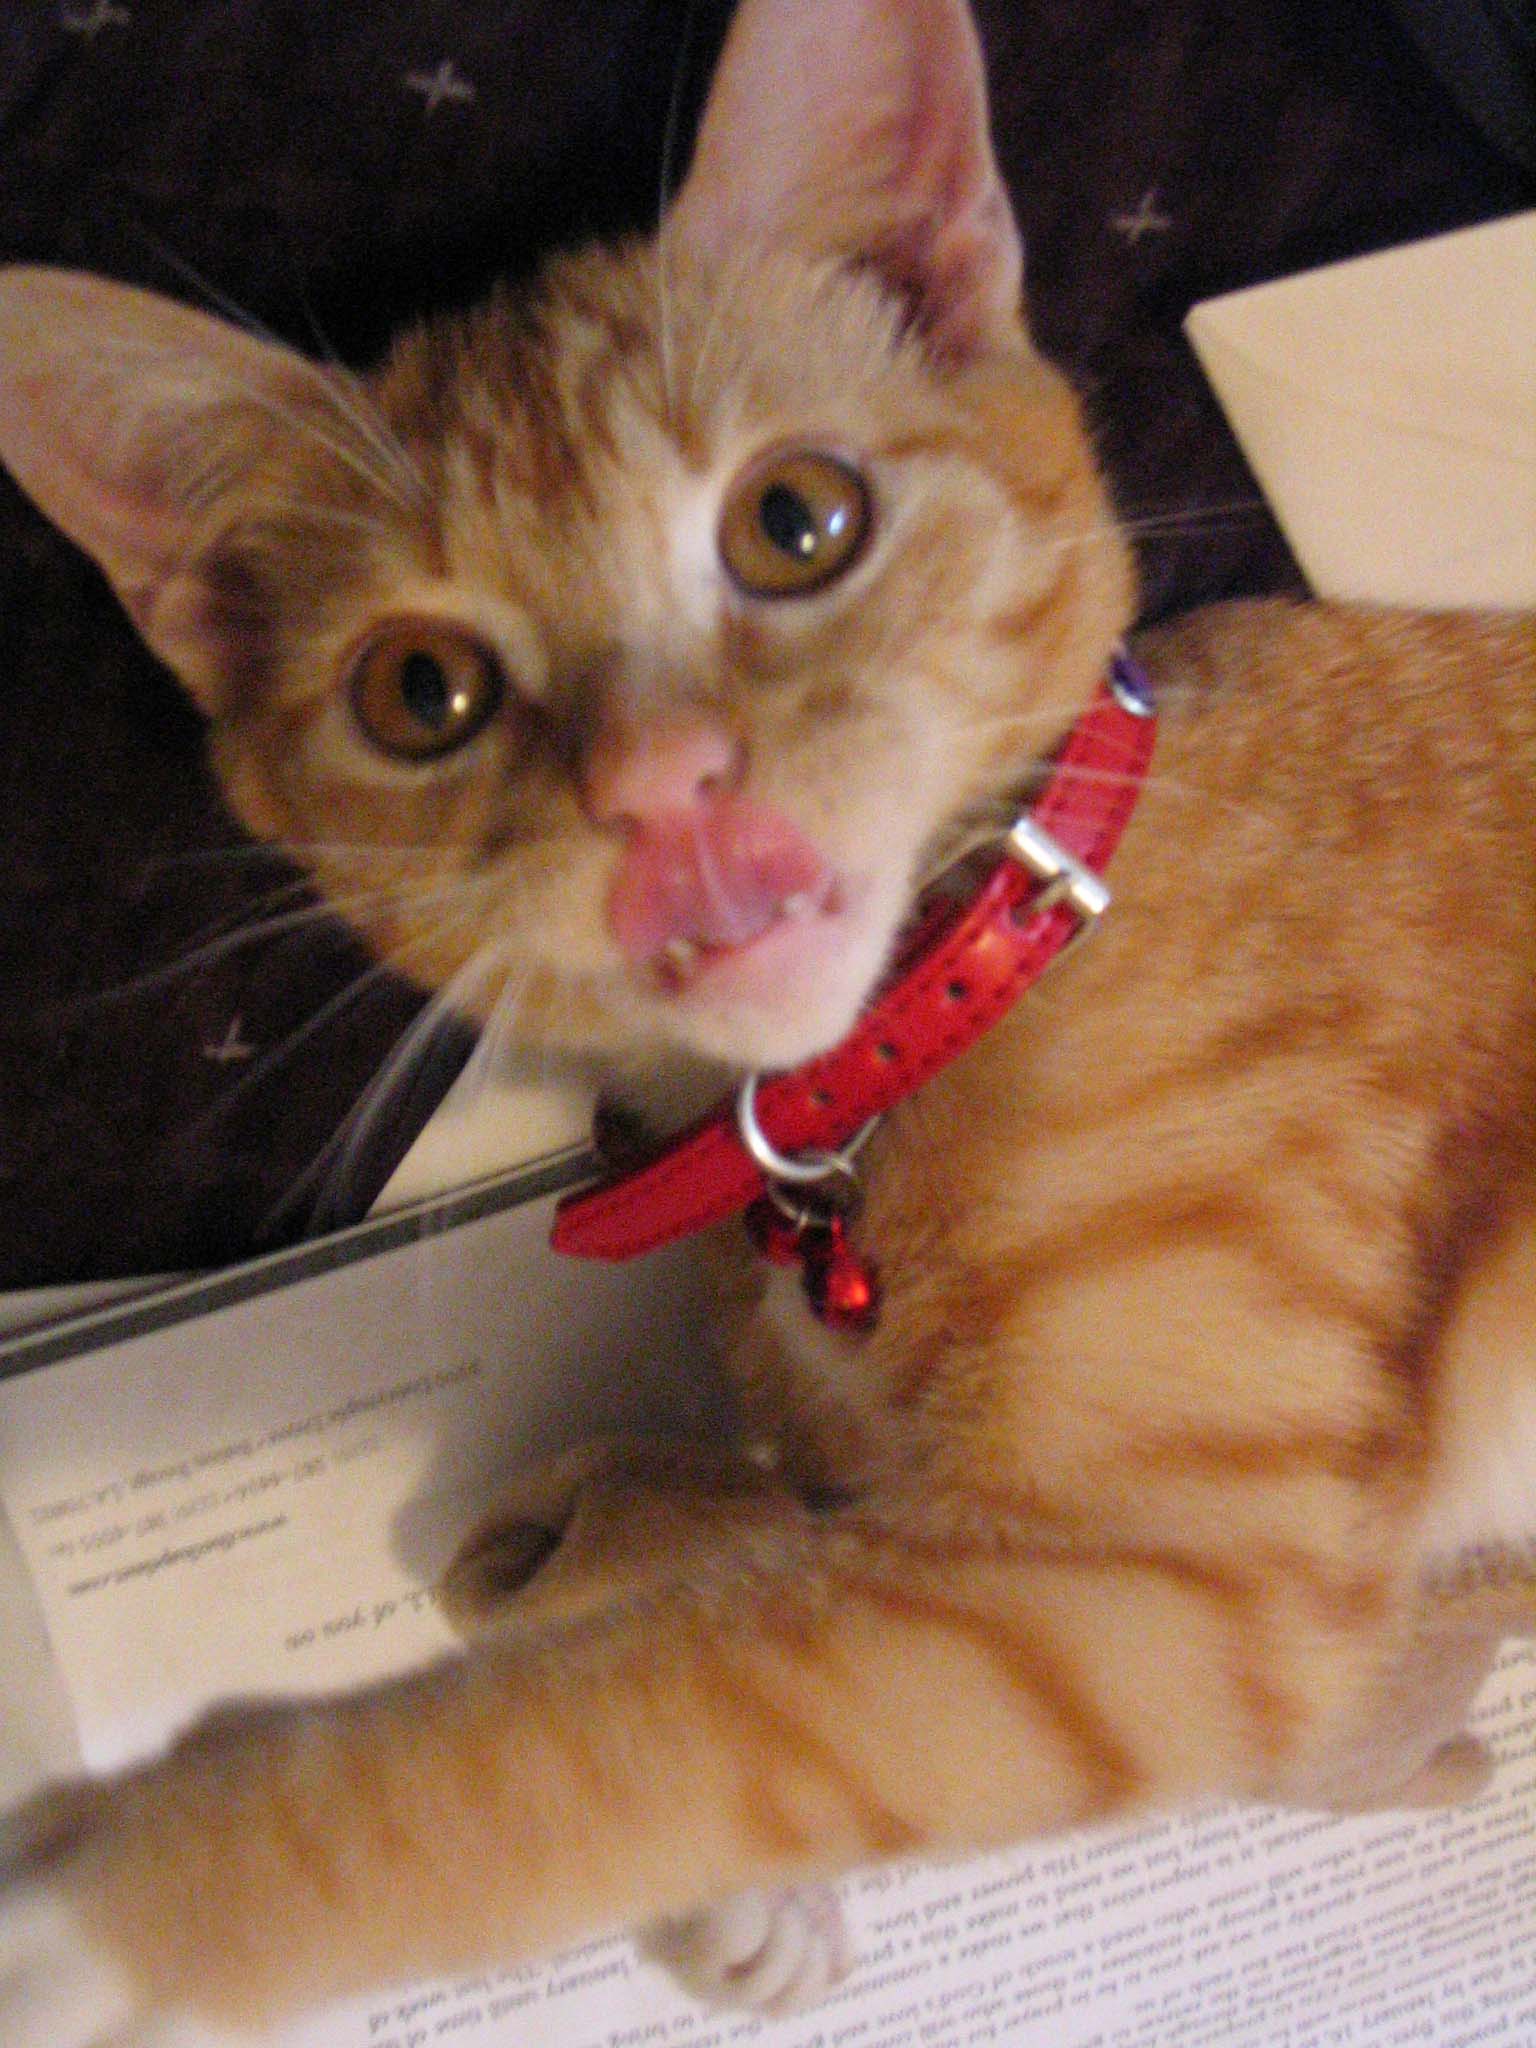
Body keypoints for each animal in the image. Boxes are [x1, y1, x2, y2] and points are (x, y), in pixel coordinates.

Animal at [1, 0, 1535, 2039]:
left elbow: (624, 1727)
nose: (660, 782)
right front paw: (750, 1894)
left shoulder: (1170, 1576)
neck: (897, 1054)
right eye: (421, 692)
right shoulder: (953, 1533)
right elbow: (737, 1597)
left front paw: (113, 1896)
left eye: (797, 524)